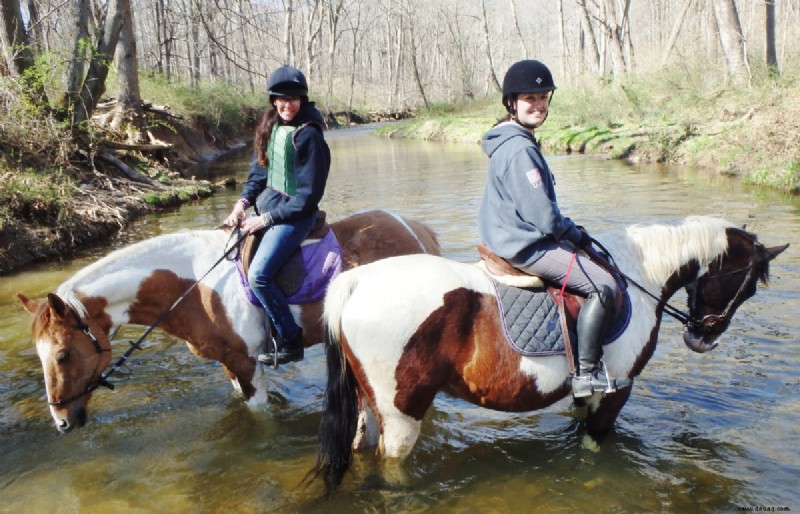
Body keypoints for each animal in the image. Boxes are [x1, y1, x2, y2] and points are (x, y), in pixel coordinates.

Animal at [312, 216, 788, 488]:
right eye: (746, 285)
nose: (702, 339)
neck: (637, 275)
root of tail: (354, 282)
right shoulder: (616, 392)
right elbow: (593, 449)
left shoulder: (587, 392)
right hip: (401, 415)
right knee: (391, 465)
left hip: (369, 406)